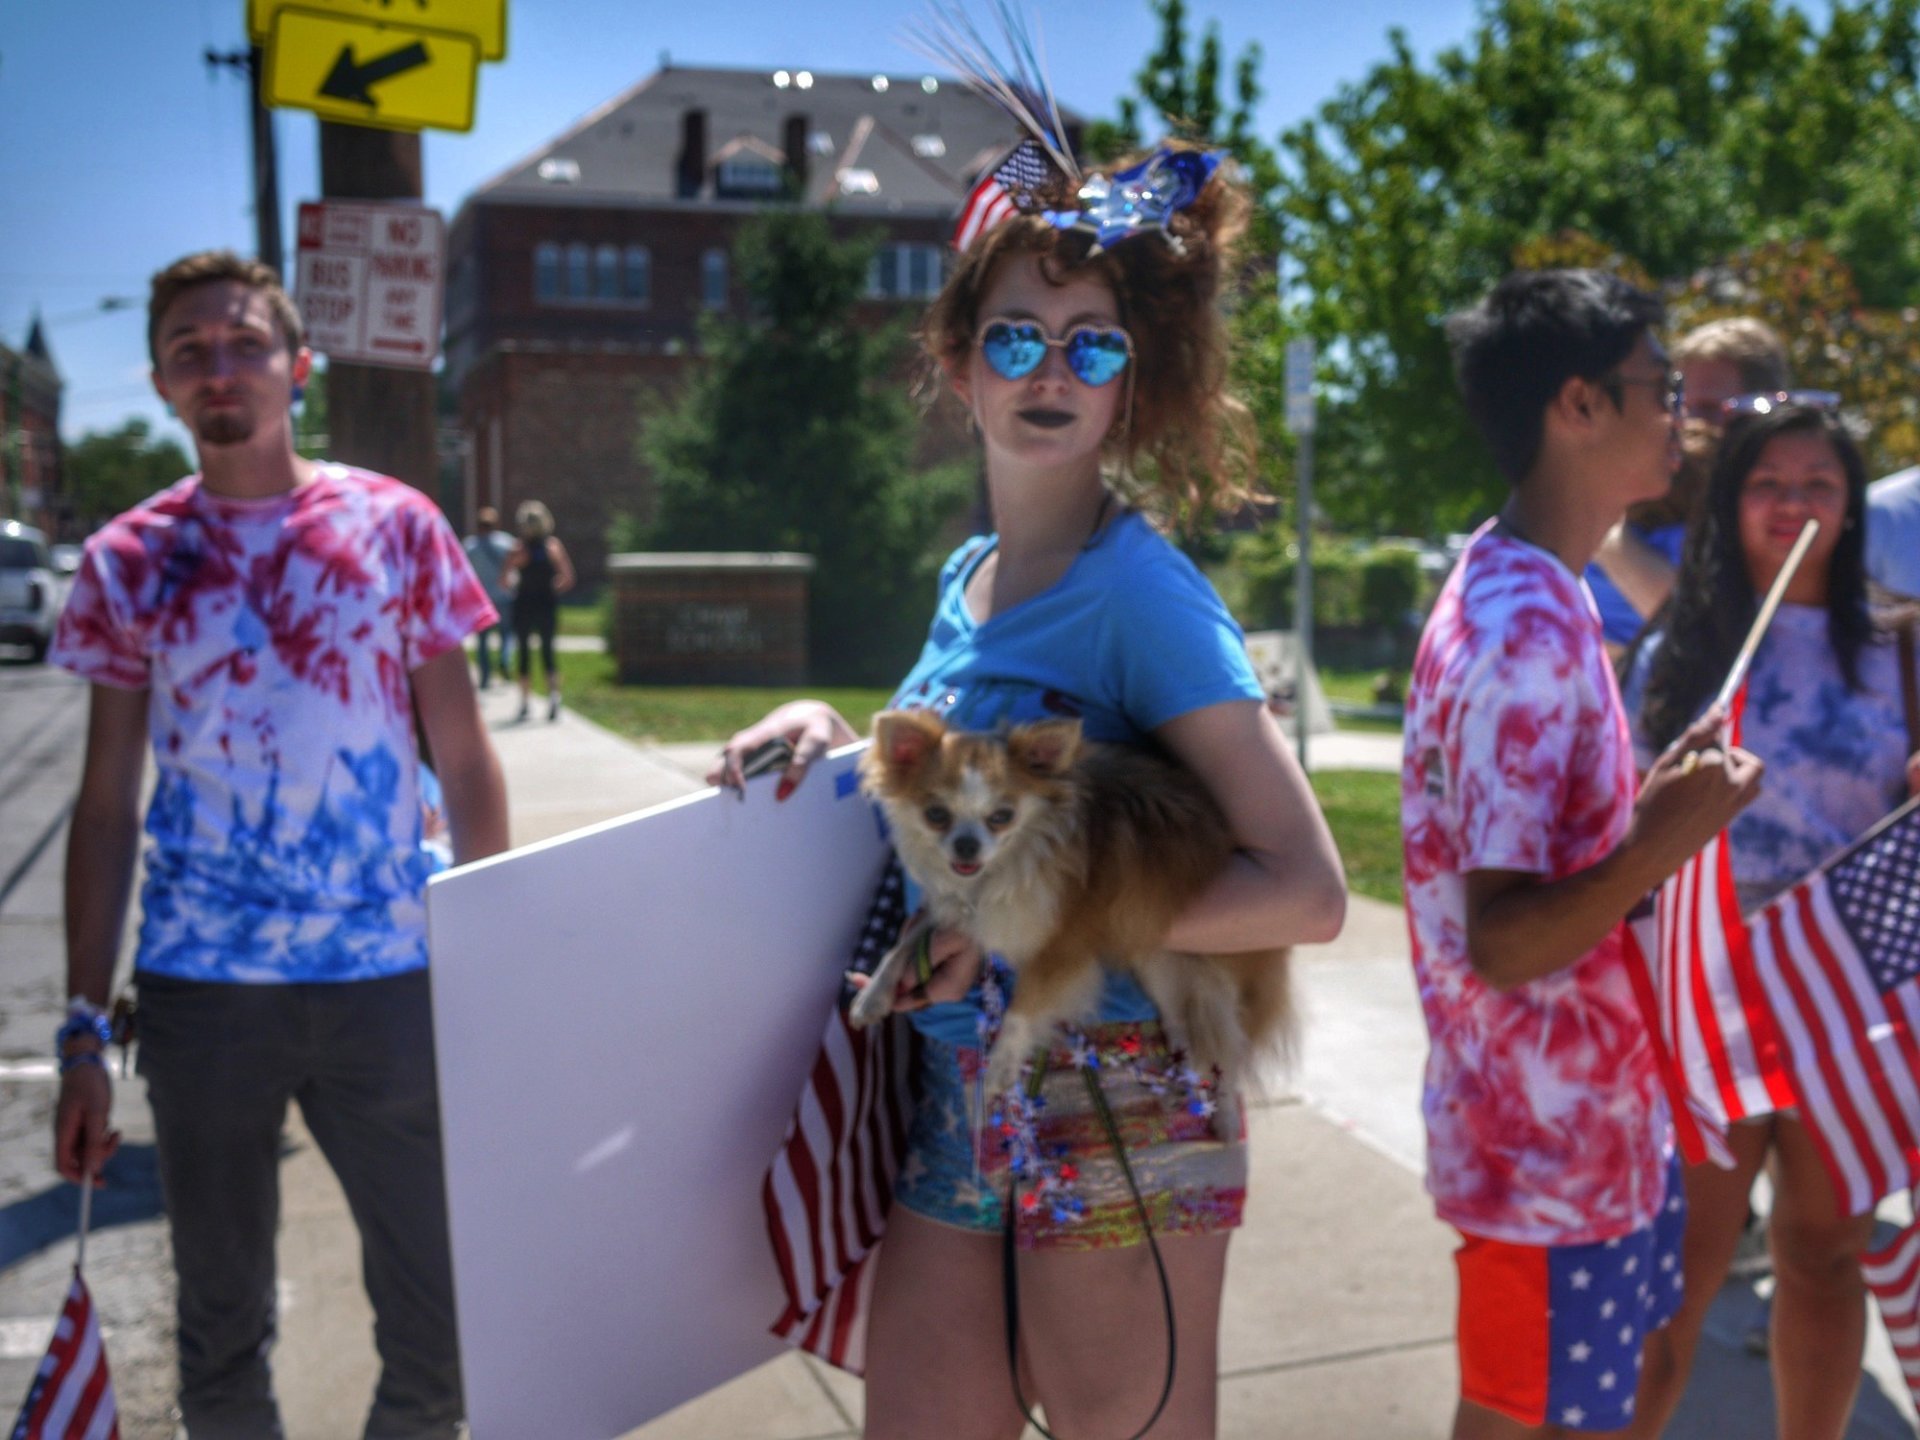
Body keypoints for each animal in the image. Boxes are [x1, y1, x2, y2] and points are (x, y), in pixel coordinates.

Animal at [856, 714, 1290, 1105]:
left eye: (1002, 817)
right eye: (936, 815)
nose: (966, 845)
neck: (1012, 862)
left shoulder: (1065, 944)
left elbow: (1022, 1008)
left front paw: (999, 1069)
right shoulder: (965, 908)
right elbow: (904, 943)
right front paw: (872, 996)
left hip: (1185, 972)